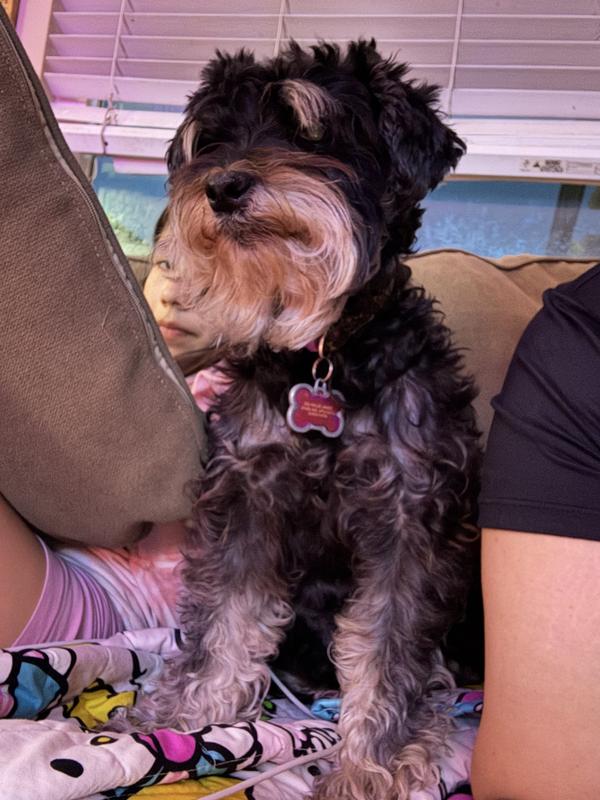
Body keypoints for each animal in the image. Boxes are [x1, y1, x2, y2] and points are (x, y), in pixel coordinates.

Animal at [137, 40, 481, 800]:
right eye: (213, 138)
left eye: (307, 130)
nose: (224, 186)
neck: (326, 356)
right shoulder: (247, 498)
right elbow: (226, 618)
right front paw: (184, 717)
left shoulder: (408, 521)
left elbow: (387, 650)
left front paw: (373, 762)